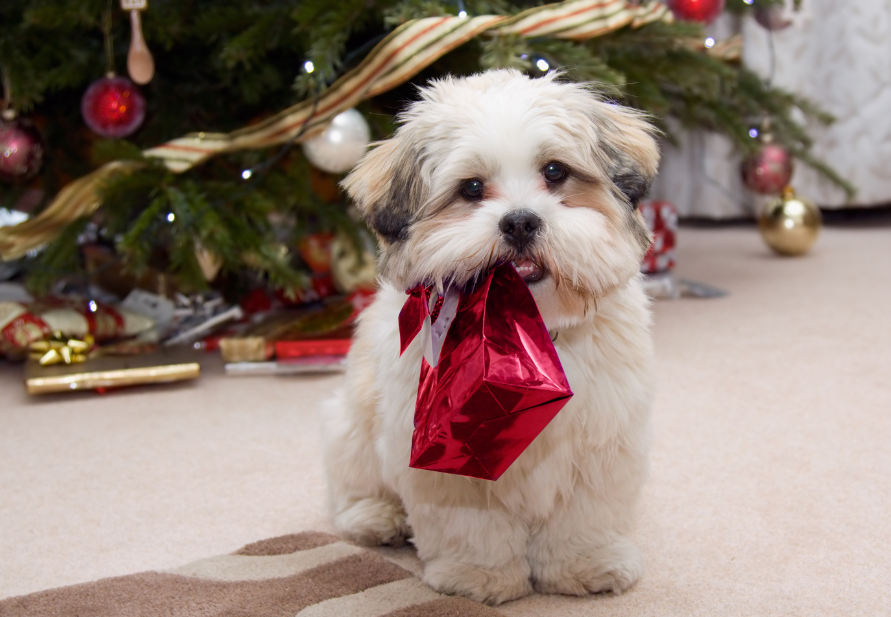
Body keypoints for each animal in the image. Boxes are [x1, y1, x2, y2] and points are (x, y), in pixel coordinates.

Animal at [324, 68, 660, 600]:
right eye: (472, 188)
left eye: (555, 172)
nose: (520, 220)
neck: (526, 335)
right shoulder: (447, 456)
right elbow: (471, 525)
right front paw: (478, 575)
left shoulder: (601, 443)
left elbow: (583, 519)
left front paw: (584, 564)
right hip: (350, 424)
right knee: (353, 484)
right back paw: (377, 516)